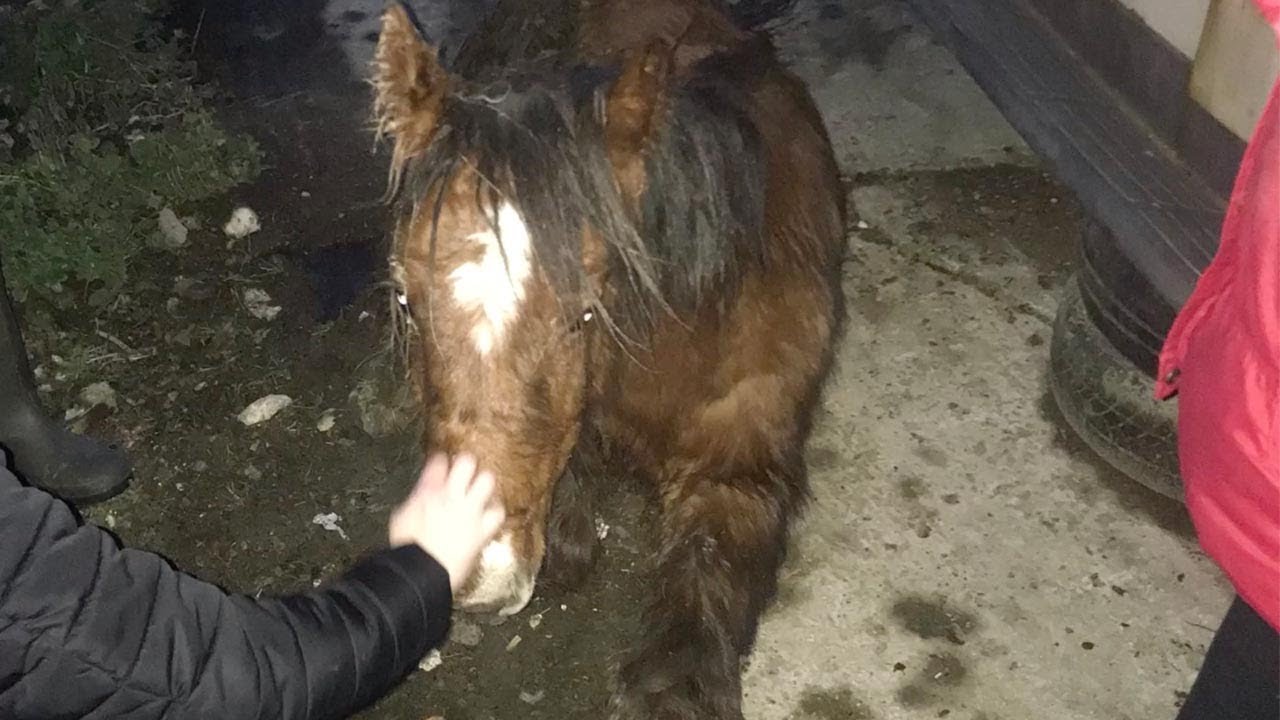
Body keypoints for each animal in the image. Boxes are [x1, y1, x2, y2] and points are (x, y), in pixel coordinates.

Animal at [373, 0, 846, 716]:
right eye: (404, 296)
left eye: (586, 311)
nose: (476, 577)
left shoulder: (743, 461)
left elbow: (707, 576)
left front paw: (675, 689)